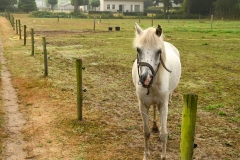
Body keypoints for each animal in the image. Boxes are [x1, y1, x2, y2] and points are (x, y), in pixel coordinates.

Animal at [132, 23, 181, 159]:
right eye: (138, 49)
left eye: (159, 51)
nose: (146, 79)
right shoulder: (143, 106)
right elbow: (146, 132)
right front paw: (146, 155)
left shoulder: (163, 105)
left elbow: (164, 135)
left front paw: (163, 156)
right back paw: (154, 126)